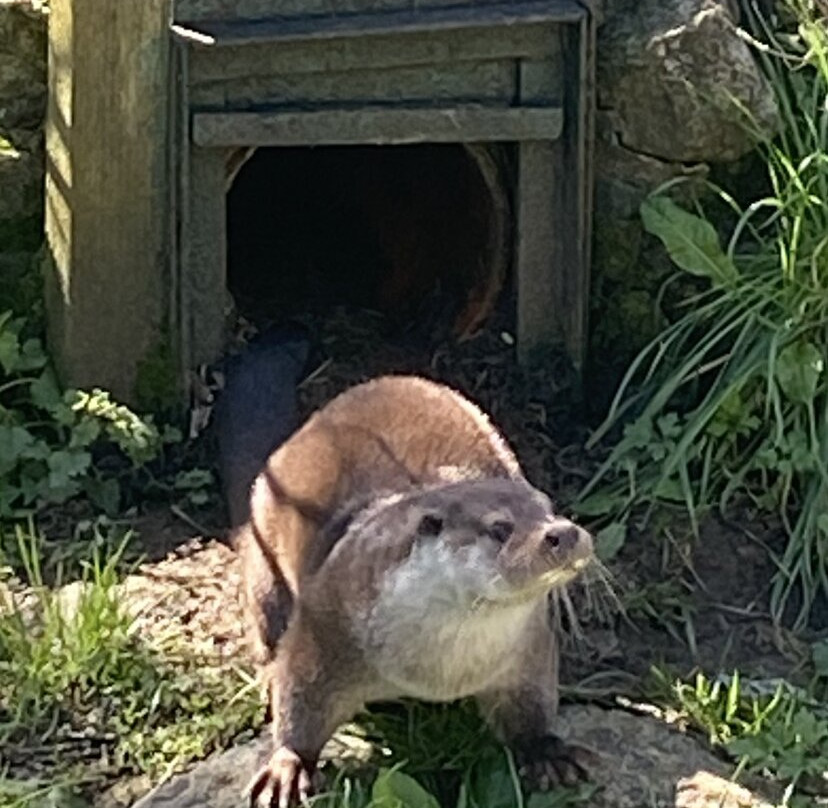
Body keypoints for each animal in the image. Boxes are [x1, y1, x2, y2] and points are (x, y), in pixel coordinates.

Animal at [236, 376, 594, 807]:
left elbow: (532, 704)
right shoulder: (324, 626)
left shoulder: (529, 650)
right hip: (263, 559)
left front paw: (546, 750)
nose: (564, 533)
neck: (436, 671)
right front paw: (287, 765)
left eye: (549, 508)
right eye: (499, 528)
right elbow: (299, 700)